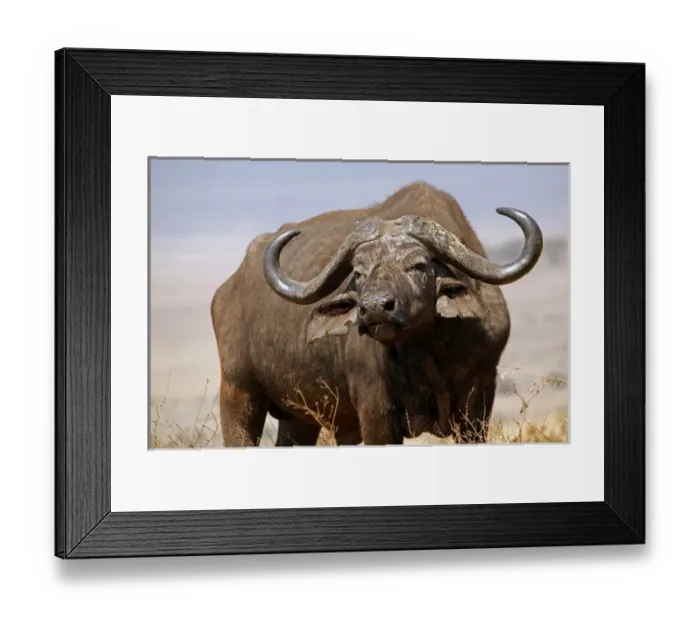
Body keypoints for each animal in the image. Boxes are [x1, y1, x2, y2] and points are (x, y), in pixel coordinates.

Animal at [210, 182, 543, 447]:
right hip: (238, 393)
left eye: (418, 265)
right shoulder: (376, 411)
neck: (427, 352)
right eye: (358, 272)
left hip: (300, 417)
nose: (374, 308)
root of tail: (227, 288)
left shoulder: (478, 403)